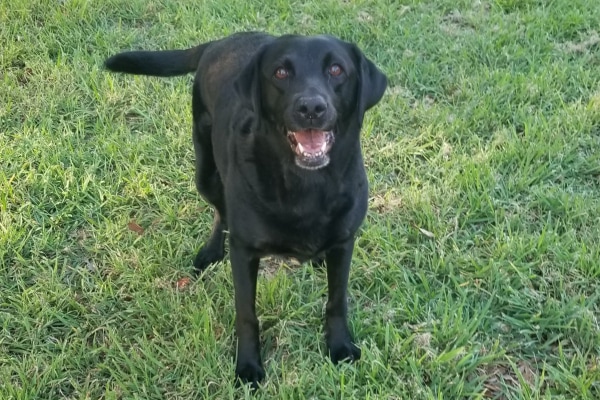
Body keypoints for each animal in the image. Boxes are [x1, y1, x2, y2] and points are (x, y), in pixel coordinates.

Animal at [105, 32, 386, 390]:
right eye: (281, 72)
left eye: (337, 70)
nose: (311, 107)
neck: (306, 184)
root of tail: (218, 41)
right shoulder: (244, 251)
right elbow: (246, 314)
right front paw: (249, 365)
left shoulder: (344, 242)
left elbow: (337, 300)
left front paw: (339, 346)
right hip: (206, 172)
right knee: (220, 211)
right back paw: (210, 252)